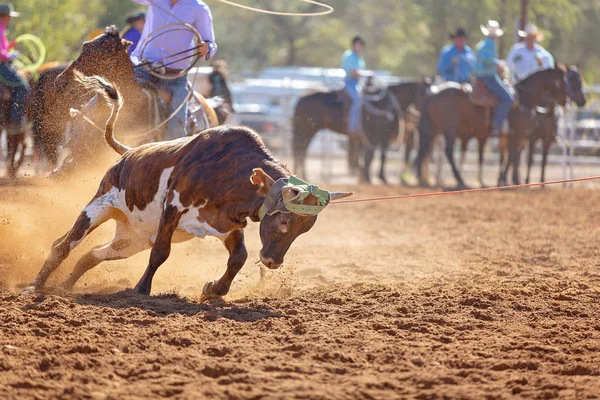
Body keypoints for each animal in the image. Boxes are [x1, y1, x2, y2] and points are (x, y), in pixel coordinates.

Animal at [23, 76, 352, 296]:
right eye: (284, 221)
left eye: (304, 229)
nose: (272, 262)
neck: (229, 171)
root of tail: (128, 153)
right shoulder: (174, 206)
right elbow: (161, 251)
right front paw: (141, 289)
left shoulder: (227, 223)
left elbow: (239, 257)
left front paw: (213, 290)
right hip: (99, 206)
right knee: (63, 246)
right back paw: (35, 287)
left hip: (130, 239)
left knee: (91, 255)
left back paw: (65, 288)